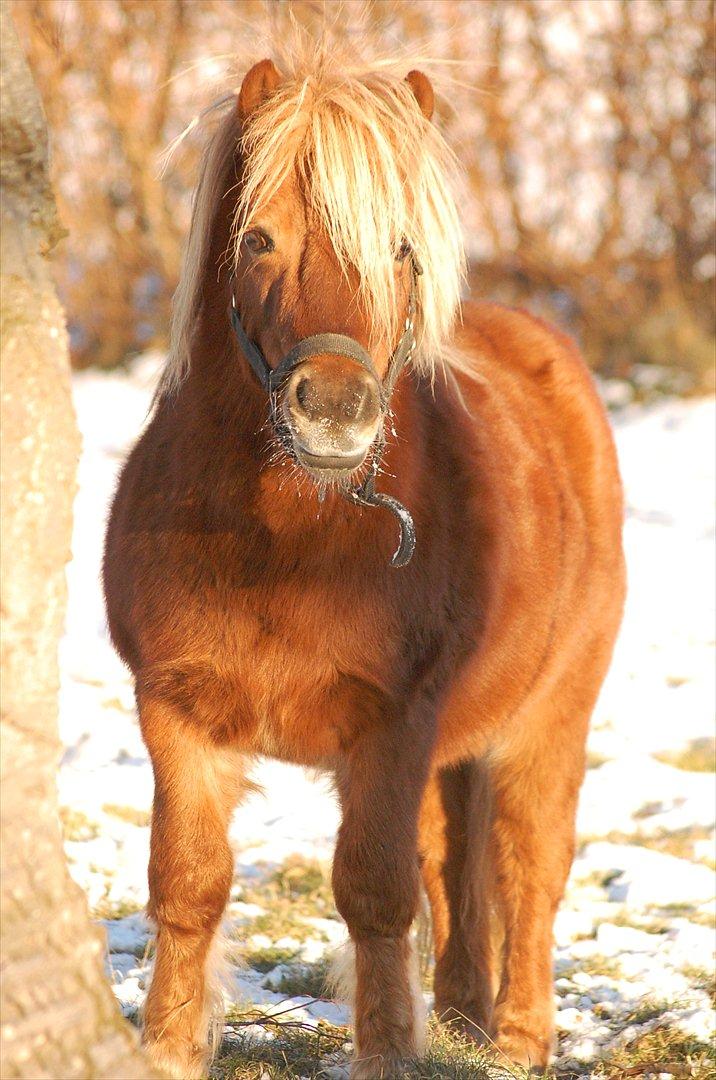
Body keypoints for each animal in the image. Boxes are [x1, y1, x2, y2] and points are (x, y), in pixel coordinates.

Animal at [103, 44, 626, 1080]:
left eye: (401, 250)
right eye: (258, 240)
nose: (336, 411)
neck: (285, 544)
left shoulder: (390, 725)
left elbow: (376, 896)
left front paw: (386, 1052)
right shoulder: (177, 713)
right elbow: (188, 883)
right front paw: (170, 1047)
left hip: (549, 717)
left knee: (528, 859)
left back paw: (517, 1037)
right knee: (455, 864)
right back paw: (461, 1018)